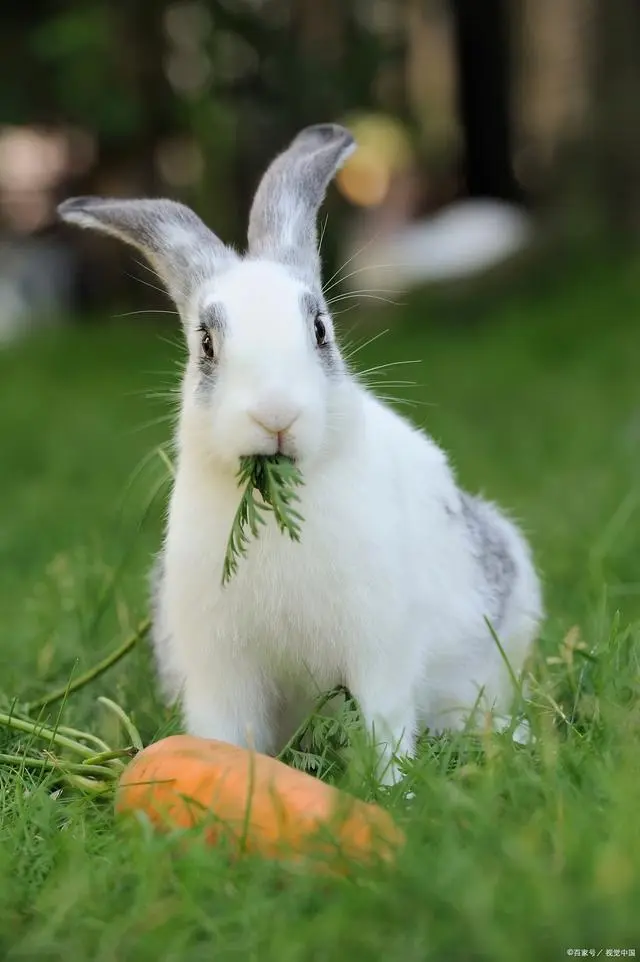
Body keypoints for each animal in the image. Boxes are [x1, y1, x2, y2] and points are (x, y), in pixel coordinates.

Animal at [57, 122, 544, 780]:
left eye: (320, 331)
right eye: (205, 345)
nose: (275, 414)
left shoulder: (379, 649)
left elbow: (386, 724)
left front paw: (393, 789)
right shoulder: (219, 669)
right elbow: (224, 733)